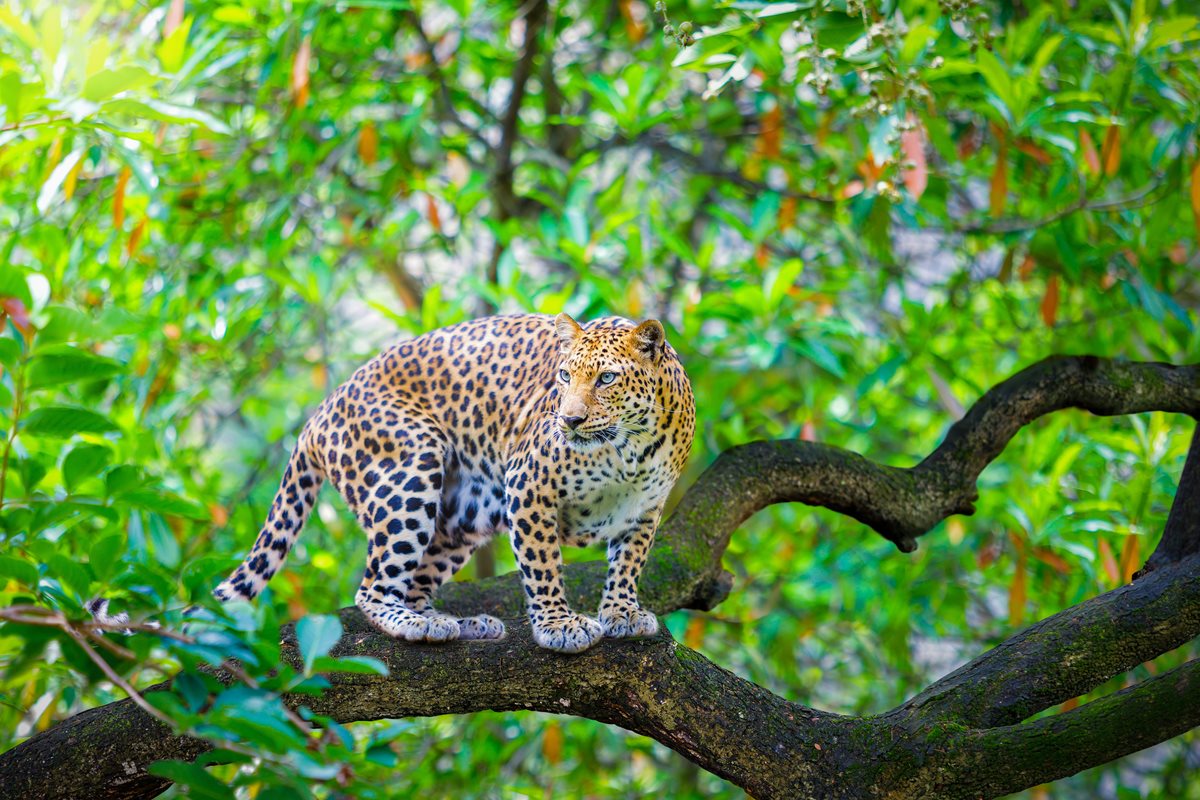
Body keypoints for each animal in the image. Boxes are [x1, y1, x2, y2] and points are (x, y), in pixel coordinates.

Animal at [214, 312, 695, 653]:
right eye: (564, 377)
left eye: (606, 378)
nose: (569, 420)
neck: (630, 448)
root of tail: (319, 412)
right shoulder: (528, 485)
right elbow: (543, 563)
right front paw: (558, 625)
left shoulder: (645, 508)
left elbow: (628, 563)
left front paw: (623, 612)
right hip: (411, 471)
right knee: (373, 589)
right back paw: (416, 624)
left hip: (463, 518)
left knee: (415, 584)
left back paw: (458, 624)